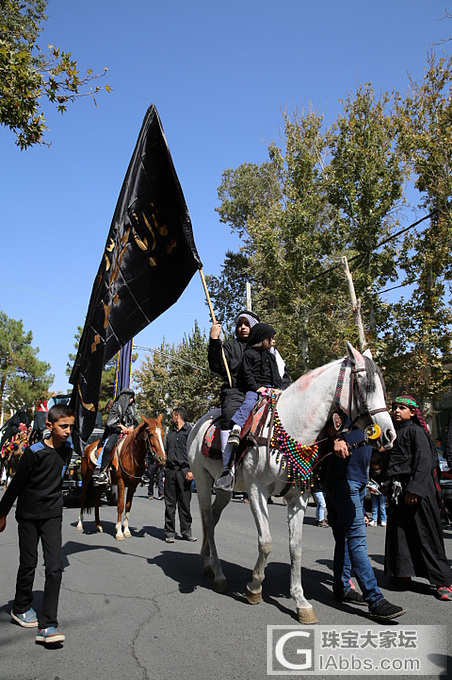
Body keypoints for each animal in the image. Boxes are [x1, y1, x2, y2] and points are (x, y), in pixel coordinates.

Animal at [187, 342, 396, 624]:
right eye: (366, 385)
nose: (389, 434)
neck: (291, 427)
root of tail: (199, 422)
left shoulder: (297, 498)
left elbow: (295, 547)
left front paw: (301, 601)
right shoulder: (257, 492)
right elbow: (266, 542)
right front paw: (255, 587)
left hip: (224, 490)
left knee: (213, 519)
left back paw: (208, 561)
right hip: (201, 481)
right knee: (208, 521)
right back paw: (219, 574)